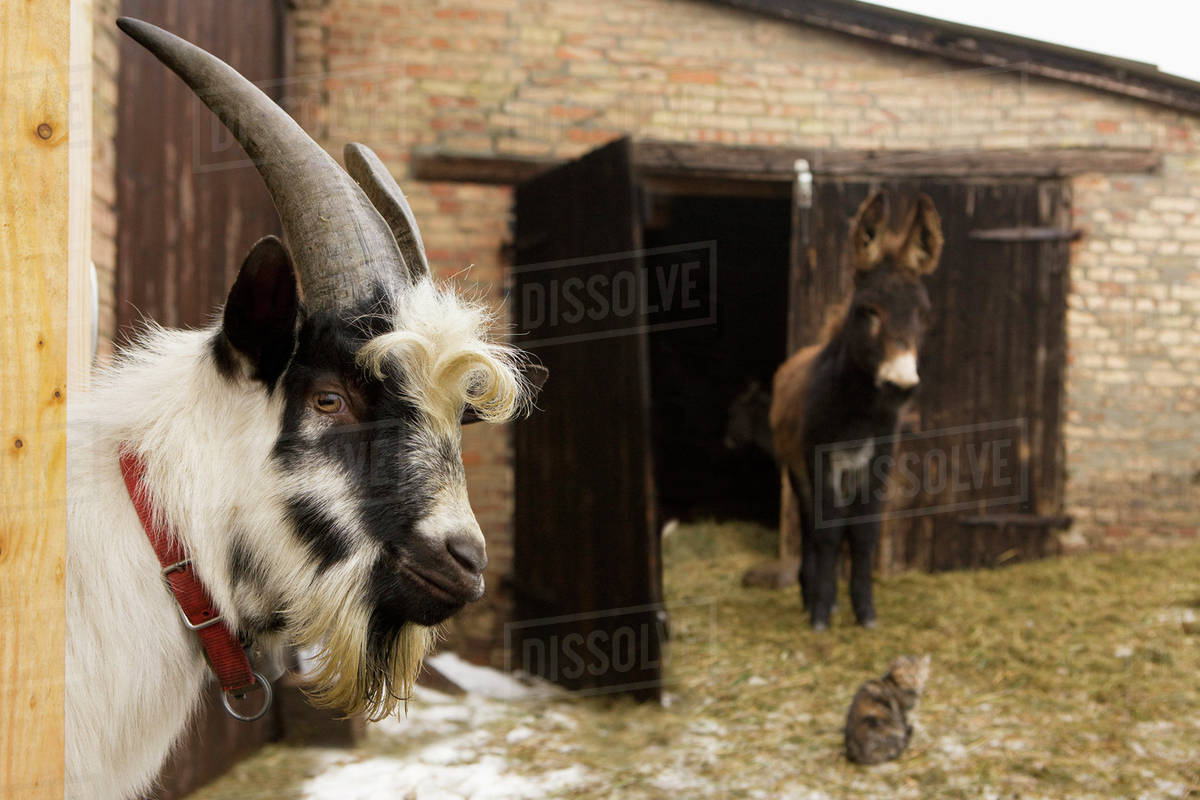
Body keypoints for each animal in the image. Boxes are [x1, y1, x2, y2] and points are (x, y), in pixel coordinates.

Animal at [769, 190, 943, 630]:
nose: (901, 384)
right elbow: (828, 533)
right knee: (810, 526)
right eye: (869, 310)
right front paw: (820, 612)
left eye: (922, 314)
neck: (860, 412)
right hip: (796, 470)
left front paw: (864, 611)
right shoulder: (821, 462)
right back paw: (811, 595)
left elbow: (864, 534)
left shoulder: (878, 462)